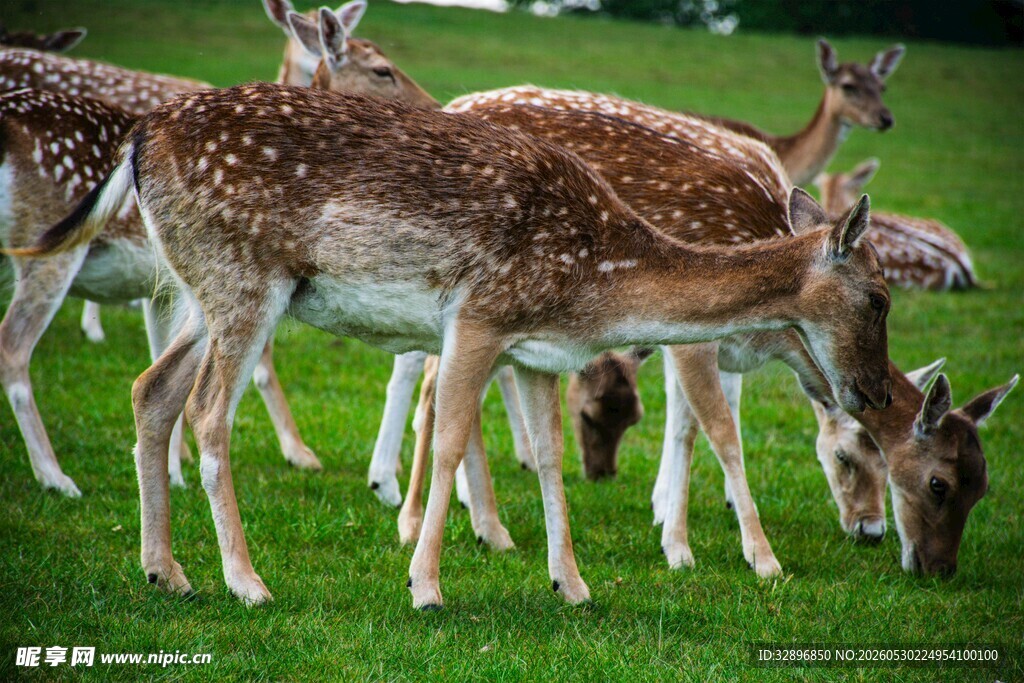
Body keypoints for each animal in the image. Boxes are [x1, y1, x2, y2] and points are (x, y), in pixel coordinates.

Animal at [0, 3, 436, 496]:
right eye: (383, 70)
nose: (434, 107)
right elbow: (255, 366)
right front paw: (300, 454)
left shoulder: (166, 291)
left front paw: (175, 467)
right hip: (52, 252)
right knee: (13, 346)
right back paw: (55, 476)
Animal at [8, 81, 894, 607]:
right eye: (880, 297)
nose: (878, 391)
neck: (596, 281)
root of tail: (140, 138)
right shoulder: (478, 315)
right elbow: (449, 437)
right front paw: (426, 583)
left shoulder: (535, 352)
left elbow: (546, 455)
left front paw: (571, 582)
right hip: (241, 280)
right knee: (207, 412)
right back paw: (245, 580)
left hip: (198, 287)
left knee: (150, 389)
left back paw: (166, 568)